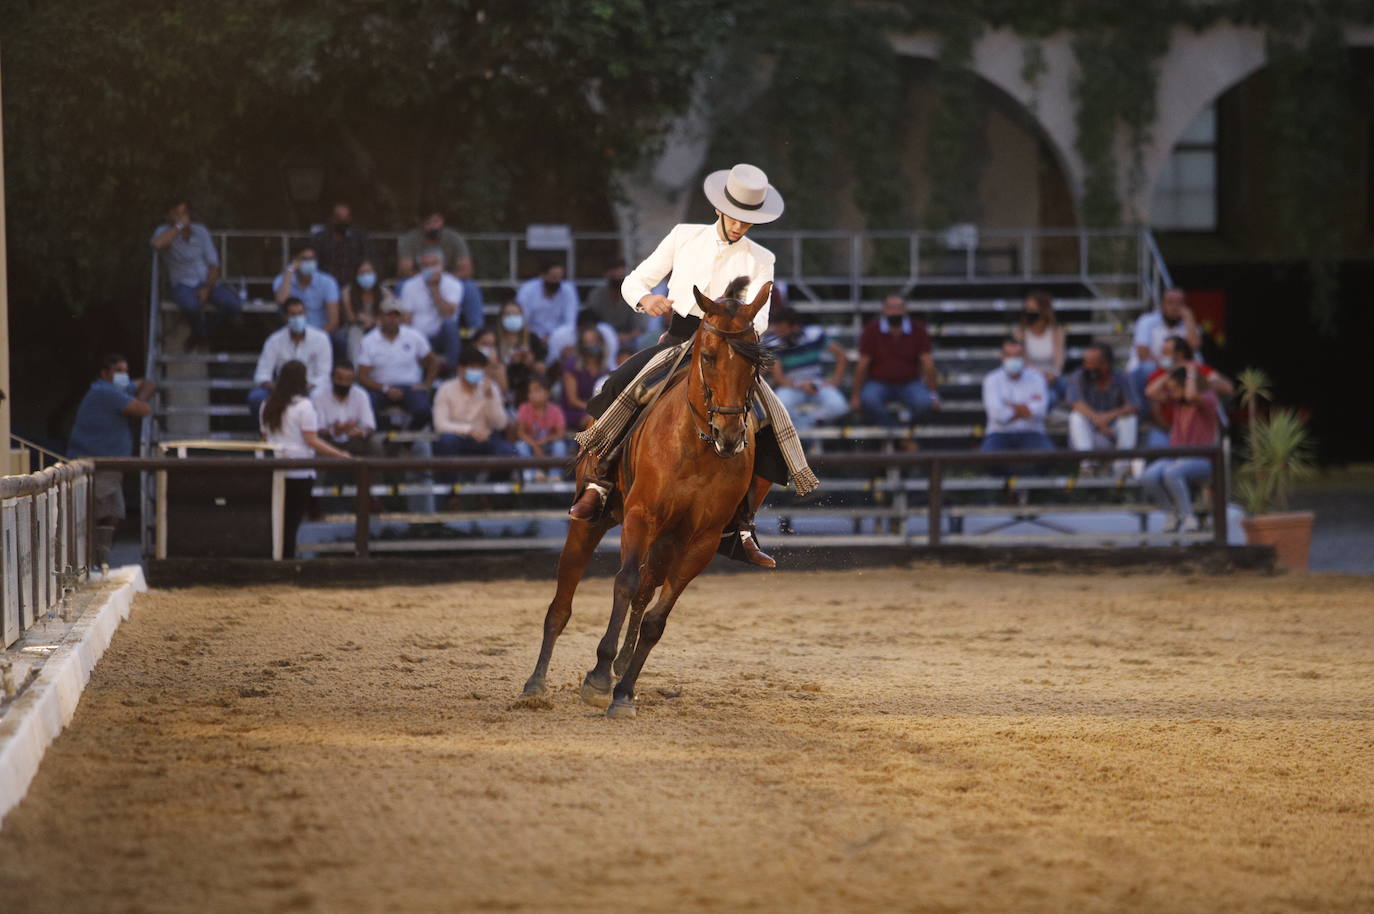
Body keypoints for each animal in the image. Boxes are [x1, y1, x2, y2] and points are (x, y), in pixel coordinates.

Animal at [519, 277, 774, 720]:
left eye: (755, 364)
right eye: (709, 356)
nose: (729, 436)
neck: (697, 447)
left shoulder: (701, 541)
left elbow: (656, 617)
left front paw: (622, 692)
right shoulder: (641, 516)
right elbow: (624, 583)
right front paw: (599, 679)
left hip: (667, 541)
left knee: (644, 594)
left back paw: (623, 670)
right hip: (594, 523)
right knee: (564, 599)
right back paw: (537, 682)